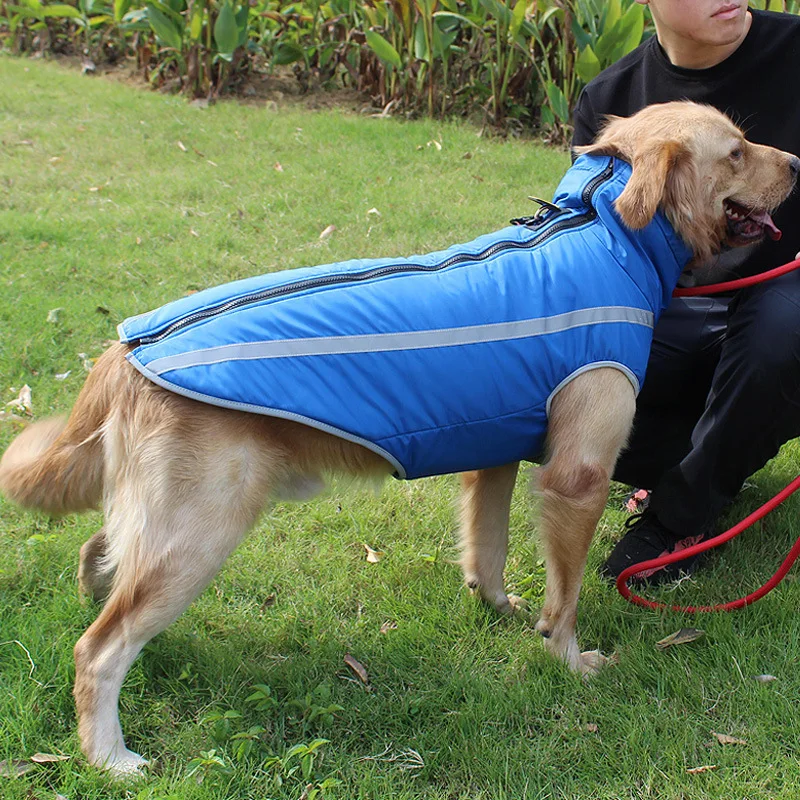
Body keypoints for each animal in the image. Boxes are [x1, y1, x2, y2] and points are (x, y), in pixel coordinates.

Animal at [0, 101, 796, 776]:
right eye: (735, 150)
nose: (794, 161)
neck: (599, 228)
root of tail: (125, 347)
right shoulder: (577, 476)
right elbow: (564, 600)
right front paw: (569, 659)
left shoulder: (495, 455)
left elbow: (488, 549)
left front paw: (498, 609)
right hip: (200, 530)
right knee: (98, 650)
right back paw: (110, 755)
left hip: (164, 522)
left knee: (99, 559)